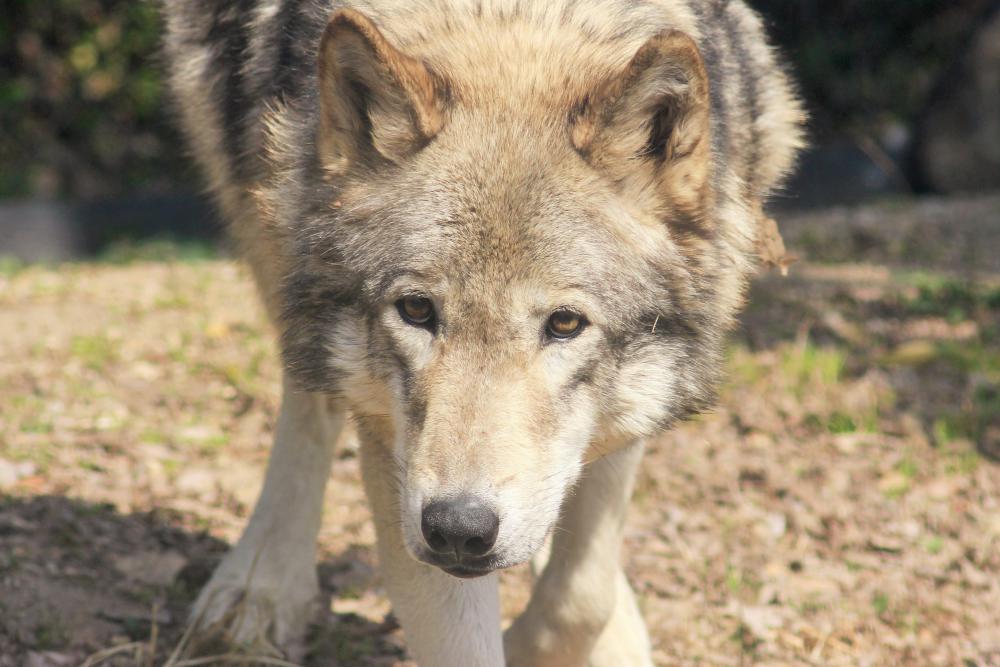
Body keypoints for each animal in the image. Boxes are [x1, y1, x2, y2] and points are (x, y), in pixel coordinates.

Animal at [164, 0, 804, 664]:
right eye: (416, 310)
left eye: (565, 323)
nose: (458, 529)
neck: (513, 27)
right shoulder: (398, 464)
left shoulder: (639, 398)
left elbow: (581, 596)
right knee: (309, 403)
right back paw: (261, 586)